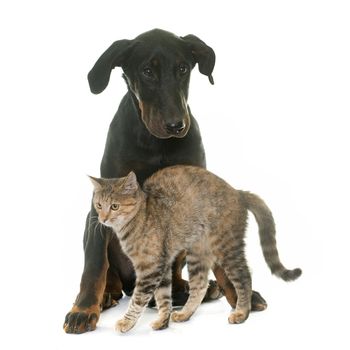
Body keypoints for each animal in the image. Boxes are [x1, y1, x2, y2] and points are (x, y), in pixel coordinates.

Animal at [63, 29, 266, 334]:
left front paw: (242, 295)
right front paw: (83, 310)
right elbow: (94, 265)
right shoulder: (98, 208)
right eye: (147, 71)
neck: (157, 144)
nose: (175, 125)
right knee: (109, 273)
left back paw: (191, 289)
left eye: (183, 69)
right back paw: (109, 295)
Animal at [88, 165, 300, 332]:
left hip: (226, 246)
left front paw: (126, 322)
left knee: (244, 276)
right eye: (98, 205)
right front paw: (162, 321)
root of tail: (238, 192)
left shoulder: (150, 268)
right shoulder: (163, 265)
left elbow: (138, 299)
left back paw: (241, 312)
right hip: (198, 252)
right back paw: (185, 313)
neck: (140, 216)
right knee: (200, 285)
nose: (103, 219)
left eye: (114, 206)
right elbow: (163, 296)